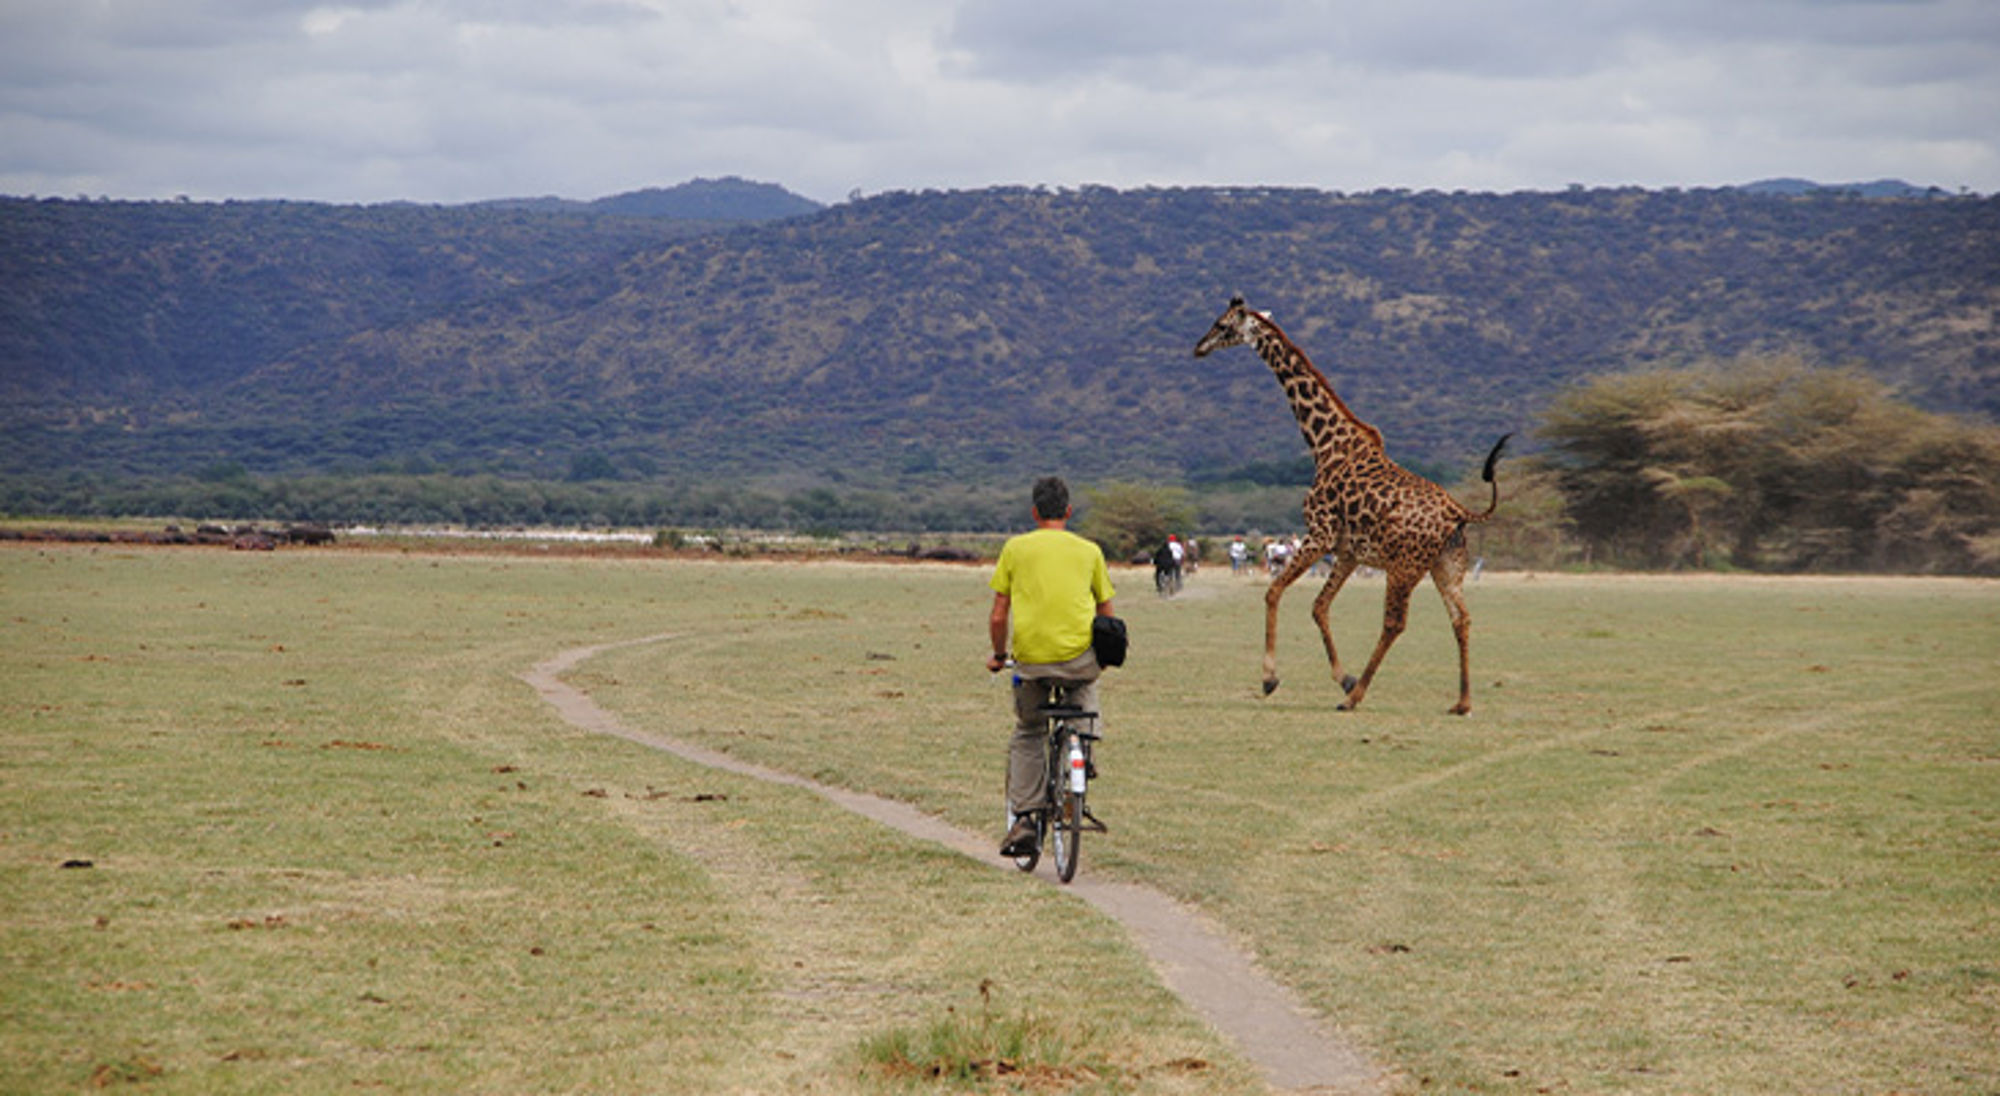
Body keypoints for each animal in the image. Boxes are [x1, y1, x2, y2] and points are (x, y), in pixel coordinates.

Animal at [1193, 296, 1509, 715]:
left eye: (1223, 325)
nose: (1199, 347)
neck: (1324, 445)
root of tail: (1459, 511)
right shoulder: (1348, 551)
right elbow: (1318, 606)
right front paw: (1343, 677)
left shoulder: (1320, 534)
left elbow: (1273, 591)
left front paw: (1271, 679)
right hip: (1446, 564)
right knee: (1461, 618)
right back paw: (1461, 702)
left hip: (1405, 566)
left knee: (1395, 623)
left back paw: (1356, 698)